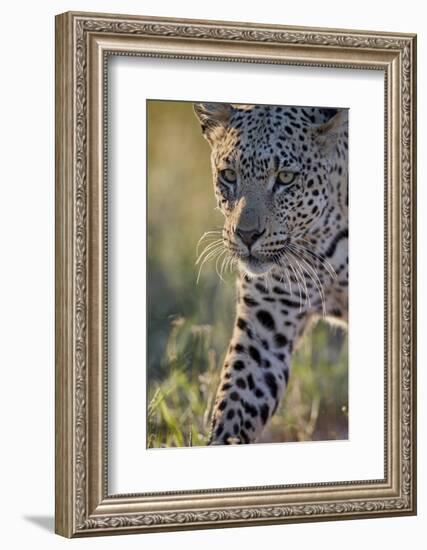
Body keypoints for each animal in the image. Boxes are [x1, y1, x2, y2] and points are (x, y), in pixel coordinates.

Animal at [196, 102, 350, 448]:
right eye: (229, 175)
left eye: (286, 178)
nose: (246, 235)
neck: (318, 240)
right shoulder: (264, 332)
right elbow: (233, 407)